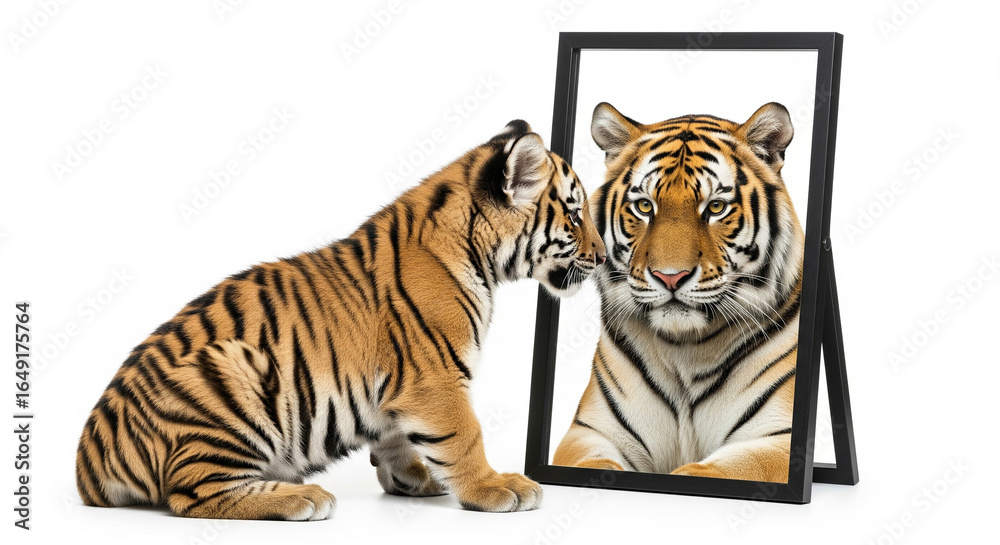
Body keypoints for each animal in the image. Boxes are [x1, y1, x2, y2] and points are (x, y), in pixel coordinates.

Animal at [75, 120, 606, 520]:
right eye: (575, 217)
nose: (603, 257)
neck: (480, 254)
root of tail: (89, 462)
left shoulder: (397, 390)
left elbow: (396, 434)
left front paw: (413, 477)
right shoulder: (436, 377)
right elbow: (464, 434)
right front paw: (494, 487)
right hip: (230, 370)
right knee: (194, 494)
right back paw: (302, 498)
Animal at [553, 102, 804, 483]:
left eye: (716, 207)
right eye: (644, 206)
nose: (670, 277)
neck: (685, 348)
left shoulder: (778, 437)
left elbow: (711, 471)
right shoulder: (590, 432)